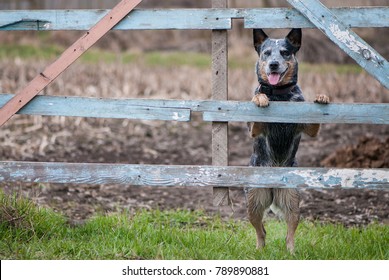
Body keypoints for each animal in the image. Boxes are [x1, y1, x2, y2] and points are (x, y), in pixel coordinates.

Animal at [246, 27, 328, 252]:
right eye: (266, 53)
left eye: (284, 52)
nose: (273, 64)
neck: (279, 96)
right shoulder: (254, 130)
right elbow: (257, 101)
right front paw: (260, 98)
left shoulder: (308, 128)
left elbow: (313, 122)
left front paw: (322, 97)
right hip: (254, 201)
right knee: (260, 230)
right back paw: (259, 249)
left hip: (292, 199)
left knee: (290, 232)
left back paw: (291, 251)